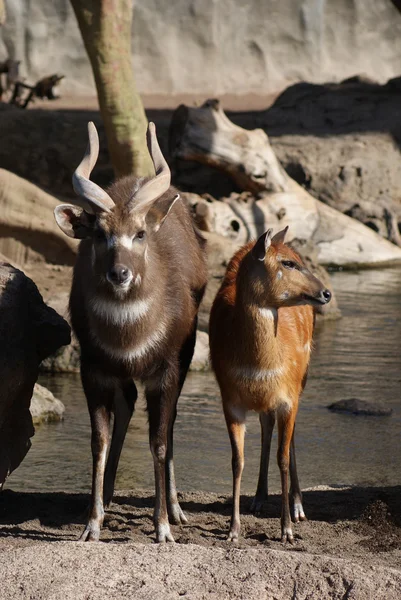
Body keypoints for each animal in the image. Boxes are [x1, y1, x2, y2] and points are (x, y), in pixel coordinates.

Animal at [54, 122, 206, 544]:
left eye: (139, 234)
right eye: (99, 233)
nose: (119, 273)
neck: (129, 338)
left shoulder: (166, 368)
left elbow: (158, 441)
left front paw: (164, 528)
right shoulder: (94, 368)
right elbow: (98, 441)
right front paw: (92, 524)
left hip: (186, 354)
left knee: (168, 424)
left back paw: (176, 509)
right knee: (126, 405)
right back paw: (104, 499)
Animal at [208, 229, 330, 544]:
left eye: (296, 260)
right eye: (288, 263)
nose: (326, 293)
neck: (260, 368)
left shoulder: (288, 397)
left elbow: (283, 458)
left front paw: (286, 530)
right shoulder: (230, 401)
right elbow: (237, 460)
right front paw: (233, 530)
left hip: (302, 379)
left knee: (289, 435)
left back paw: (298, 507)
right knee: (266, 424)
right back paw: (259, 498)